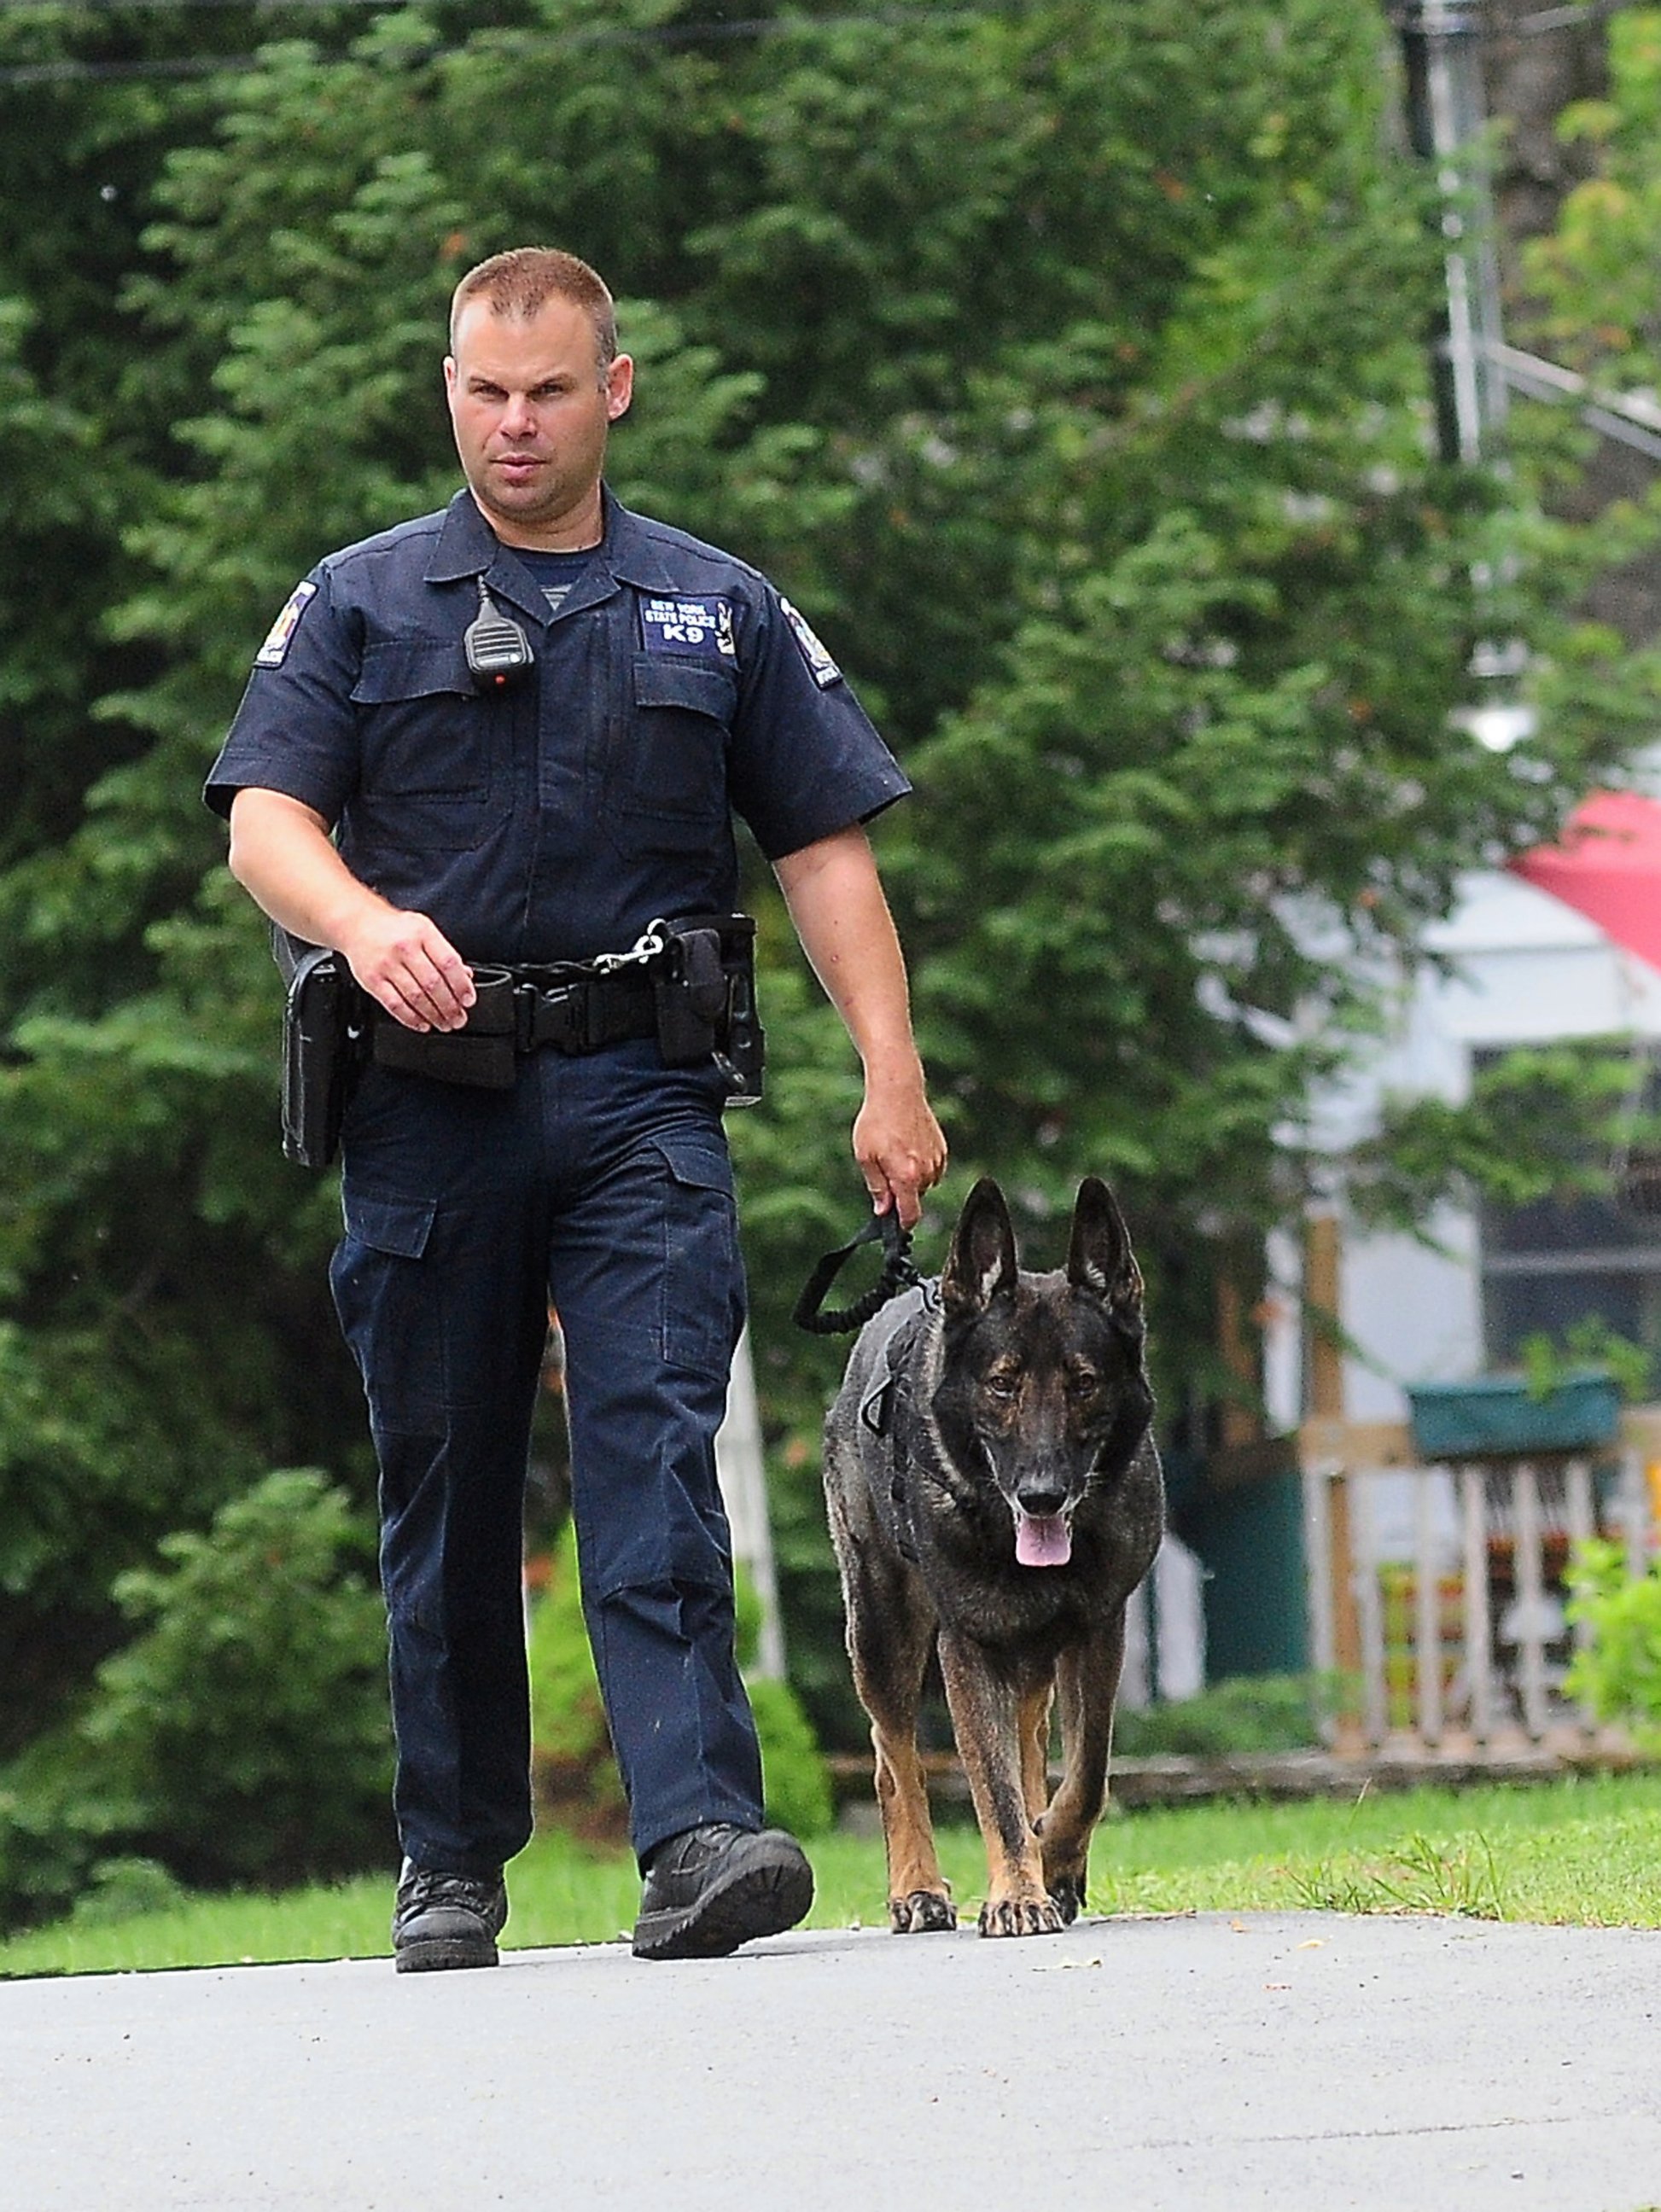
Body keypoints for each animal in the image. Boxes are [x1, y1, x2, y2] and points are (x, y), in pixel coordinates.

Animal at [822, 1176, 1158, 1937]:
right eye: (1002, 1385)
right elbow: (993, 1791)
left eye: (1083, 1383)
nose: (1041, 1495)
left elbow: (1086, 1774)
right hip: (881, 1634)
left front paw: (1051, 1859)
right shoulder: (969, 1650)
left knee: (1032, 1744)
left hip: (1030, 1656)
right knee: (894, 1761)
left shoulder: (1099, 1632)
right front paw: (1018, 1893)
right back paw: (918, 1889)